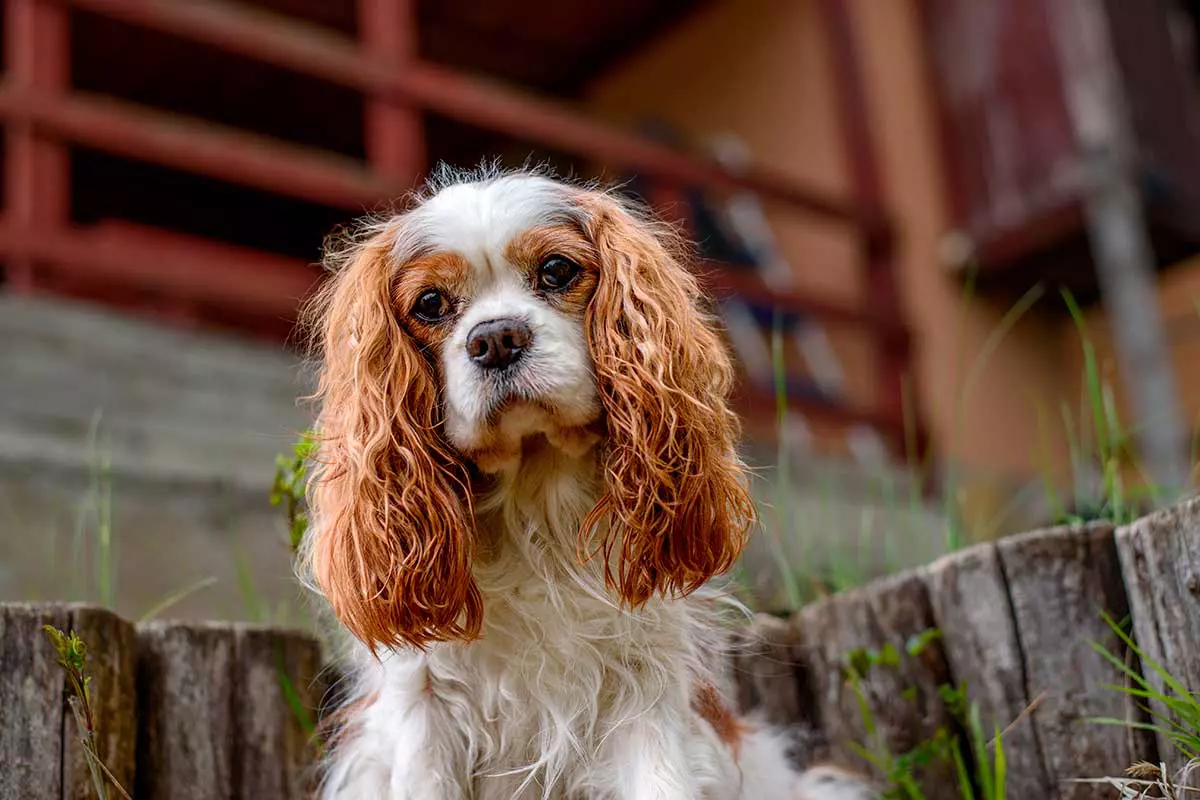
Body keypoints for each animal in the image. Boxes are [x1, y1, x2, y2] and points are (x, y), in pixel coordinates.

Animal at [304, 165, 878, 796]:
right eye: (430, 303)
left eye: (557, 270)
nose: (496, 338)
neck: (533, 507)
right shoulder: (424, 708)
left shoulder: (644, 697)